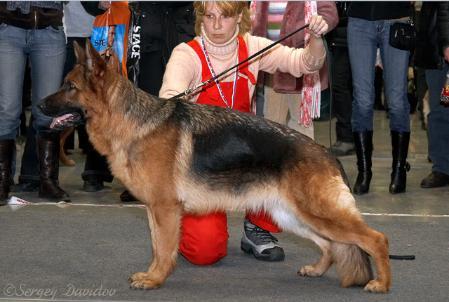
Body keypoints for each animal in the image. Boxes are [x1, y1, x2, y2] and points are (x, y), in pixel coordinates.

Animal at [38, 42, 388, 292]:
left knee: (375, 239)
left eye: (70, 86)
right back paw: (316, 270)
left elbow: (164, 249)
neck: (132, 121)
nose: (38, 105)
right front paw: (152, 275)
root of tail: (327, 155)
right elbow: (156, 247)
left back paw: (381, 284)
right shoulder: (155, 210)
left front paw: (155, 280)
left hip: (317, 214)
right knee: (331, 246)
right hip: (293, 216)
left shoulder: (166, 210)